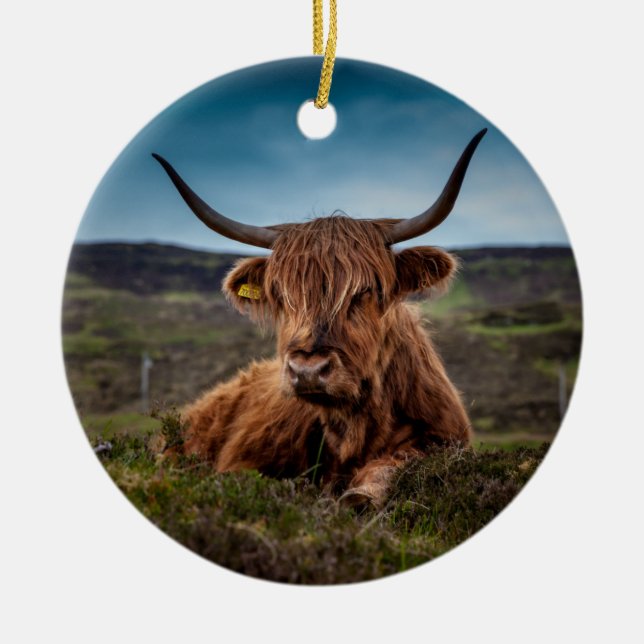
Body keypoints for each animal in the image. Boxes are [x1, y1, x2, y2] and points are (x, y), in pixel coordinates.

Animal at [151, 128, 486, 507]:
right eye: (281, 295)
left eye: (365, 290)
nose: (308, 370)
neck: (355, 428)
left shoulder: (443, 439)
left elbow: (396, 464)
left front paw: (360, 495)